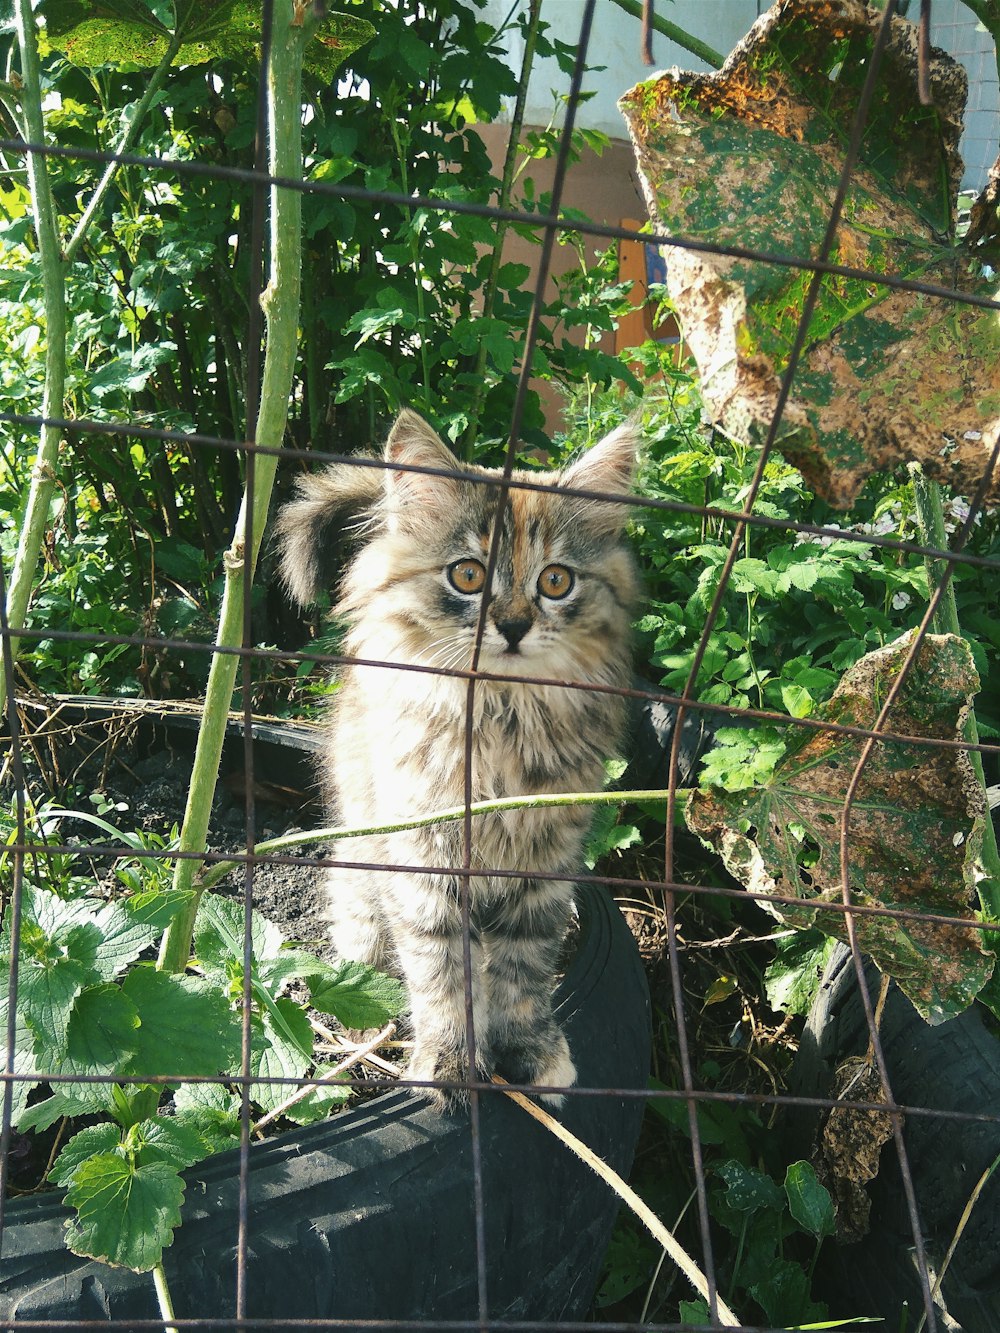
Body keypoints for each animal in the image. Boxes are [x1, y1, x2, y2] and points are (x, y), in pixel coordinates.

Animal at [274, 410, 642, 1109]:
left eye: (556, 581)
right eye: (467, 576)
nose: (514, 625)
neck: (500, 721)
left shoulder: (544, 868)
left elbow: (523, 975)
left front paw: (531, 1054)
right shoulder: (426, 864)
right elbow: (443, 975)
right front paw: (448, 1064)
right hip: (362, 863)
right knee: (359, 933)